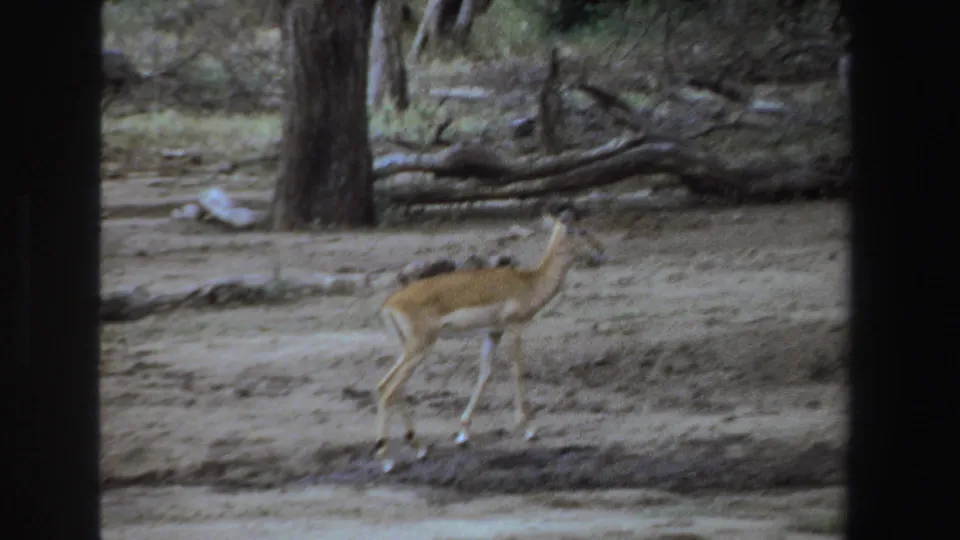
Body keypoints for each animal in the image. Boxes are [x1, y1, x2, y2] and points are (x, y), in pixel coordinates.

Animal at [373, 209, 607, 472]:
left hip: (409, 350)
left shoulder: (493, 333)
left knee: (387, 386)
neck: (529, 282)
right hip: (419, 349)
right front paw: (528, 428)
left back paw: (419, 448)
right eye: (582, 230)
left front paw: (463, 433)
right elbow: (517, 371)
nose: (601, 249)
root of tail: (388, 305)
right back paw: (387, 459)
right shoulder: (514, 329)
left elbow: (485, 374)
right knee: (389, 390)